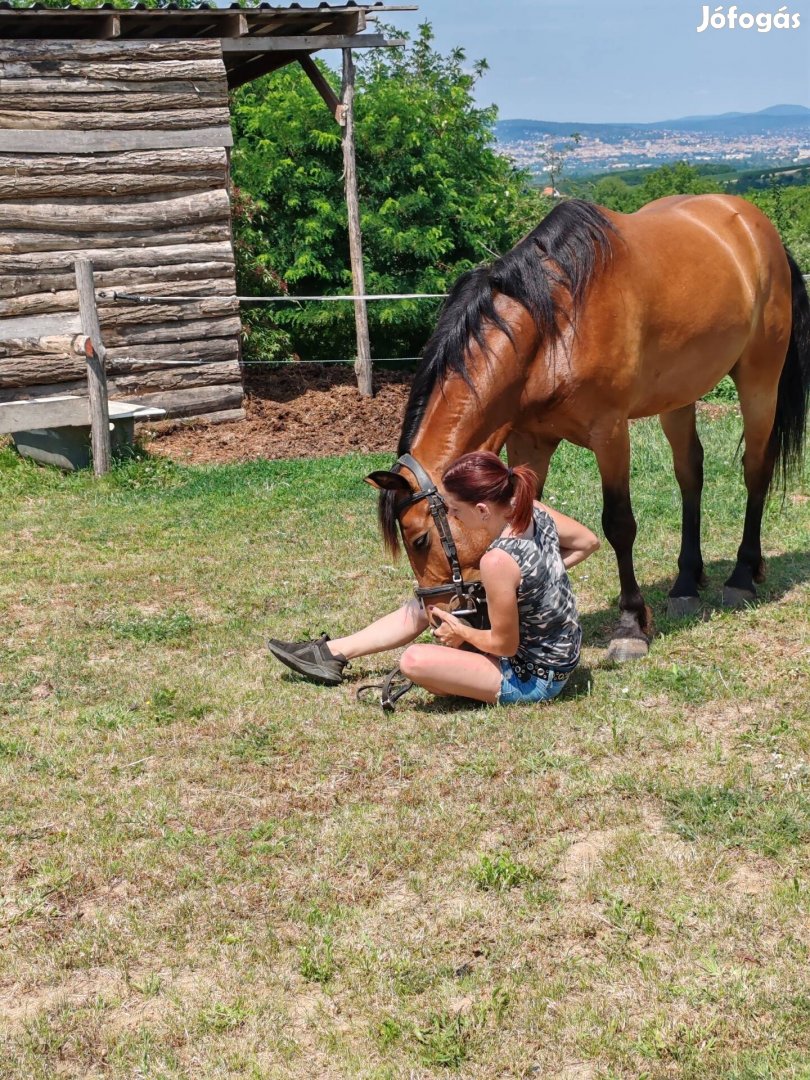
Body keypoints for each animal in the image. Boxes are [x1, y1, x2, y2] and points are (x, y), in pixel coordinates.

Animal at [369, 198, 810, 660]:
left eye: (419, 540)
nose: (438, 619)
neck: (552, 328)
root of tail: (758, 230)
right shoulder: (529, 443)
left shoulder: (610, 433)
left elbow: (619, 524)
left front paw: (630, 624)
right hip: (678, 397)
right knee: (691, 474)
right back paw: (686, 583)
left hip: (759, 380)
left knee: (755, 468)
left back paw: (742, 575)